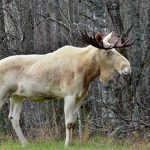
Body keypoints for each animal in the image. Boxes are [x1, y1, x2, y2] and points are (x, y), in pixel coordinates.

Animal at [0, 30, 134, 146]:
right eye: (108, 52)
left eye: (115, 49)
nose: (127, 68)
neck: (87, 72)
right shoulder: (69, 94)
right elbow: (68, 123)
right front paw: (67, 144)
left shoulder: (80, 96)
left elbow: (74, 122)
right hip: (3, 93)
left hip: (16, 95)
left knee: (13, 117)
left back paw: (25, 144)